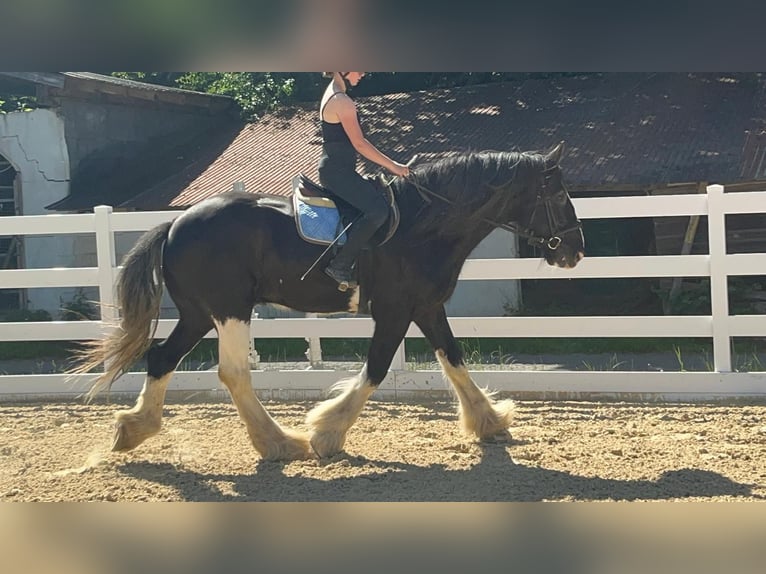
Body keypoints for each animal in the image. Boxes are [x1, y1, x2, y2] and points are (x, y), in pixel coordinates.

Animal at [72, 141, 584, 461]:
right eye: (560, 193)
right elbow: (376, 369)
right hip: (230, 309)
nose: (575, 251)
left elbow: (454, 360)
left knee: (161, 358)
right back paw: (280, 443)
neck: (425, 224)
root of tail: (175, 224)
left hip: (200, 313)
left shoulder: (426, 307)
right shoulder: (395, 311)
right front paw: (326, 432)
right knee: (232, 372)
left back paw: (134, 429)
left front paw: (489, 421)